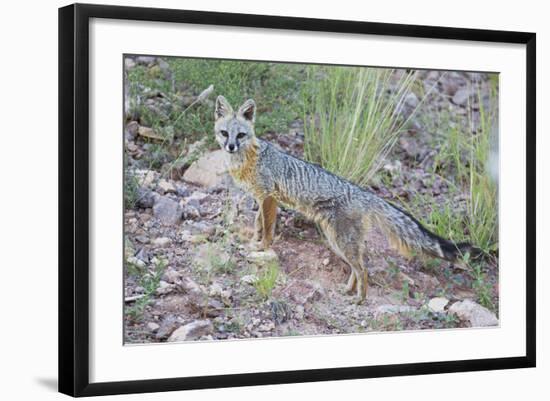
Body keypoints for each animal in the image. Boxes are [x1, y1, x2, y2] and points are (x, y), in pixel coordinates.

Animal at [213, 95, 480, 298]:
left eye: (240, 135)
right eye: (224, 133)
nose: (230, 146)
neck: (247, 160)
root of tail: (364, 193)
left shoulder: (268, 197)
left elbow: (268, 229)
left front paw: (263, 247)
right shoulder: (261, 198)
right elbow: (258, 223)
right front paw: (254, 242)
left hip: (341, 241)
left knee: (363, 270)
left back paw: (360, 299)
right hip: (339, 242)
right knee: (357, 267)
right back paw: (348, 291)